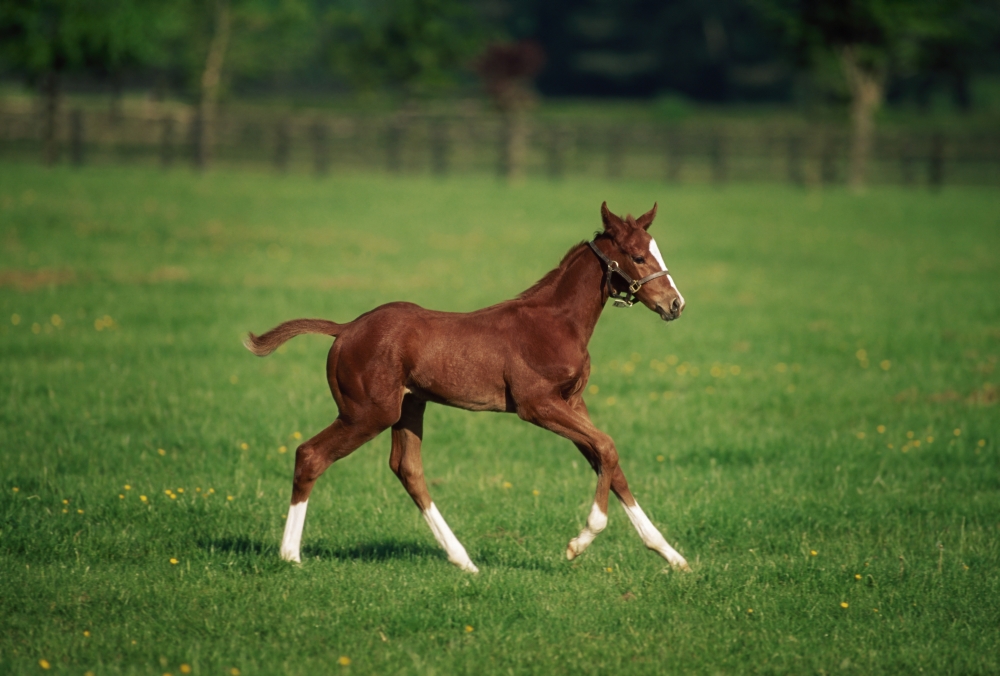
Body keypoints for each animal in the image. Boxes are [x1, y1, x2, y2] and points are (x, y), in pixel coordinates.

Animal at [245, 202, 690, 572]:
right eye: (637, 256)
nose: (675, 305)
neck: (554, 321)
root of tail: (346, 328)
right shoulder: (537, 405)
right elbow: (608, 448)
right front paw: (580, 540)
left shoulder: (573, 402)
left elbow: (611, 465)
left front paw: (671, 555)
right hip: (367, 413)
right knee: (310, 455)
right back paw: (290, 555)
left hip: (408, 407)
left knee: (408, 470)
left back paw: (463, 561)